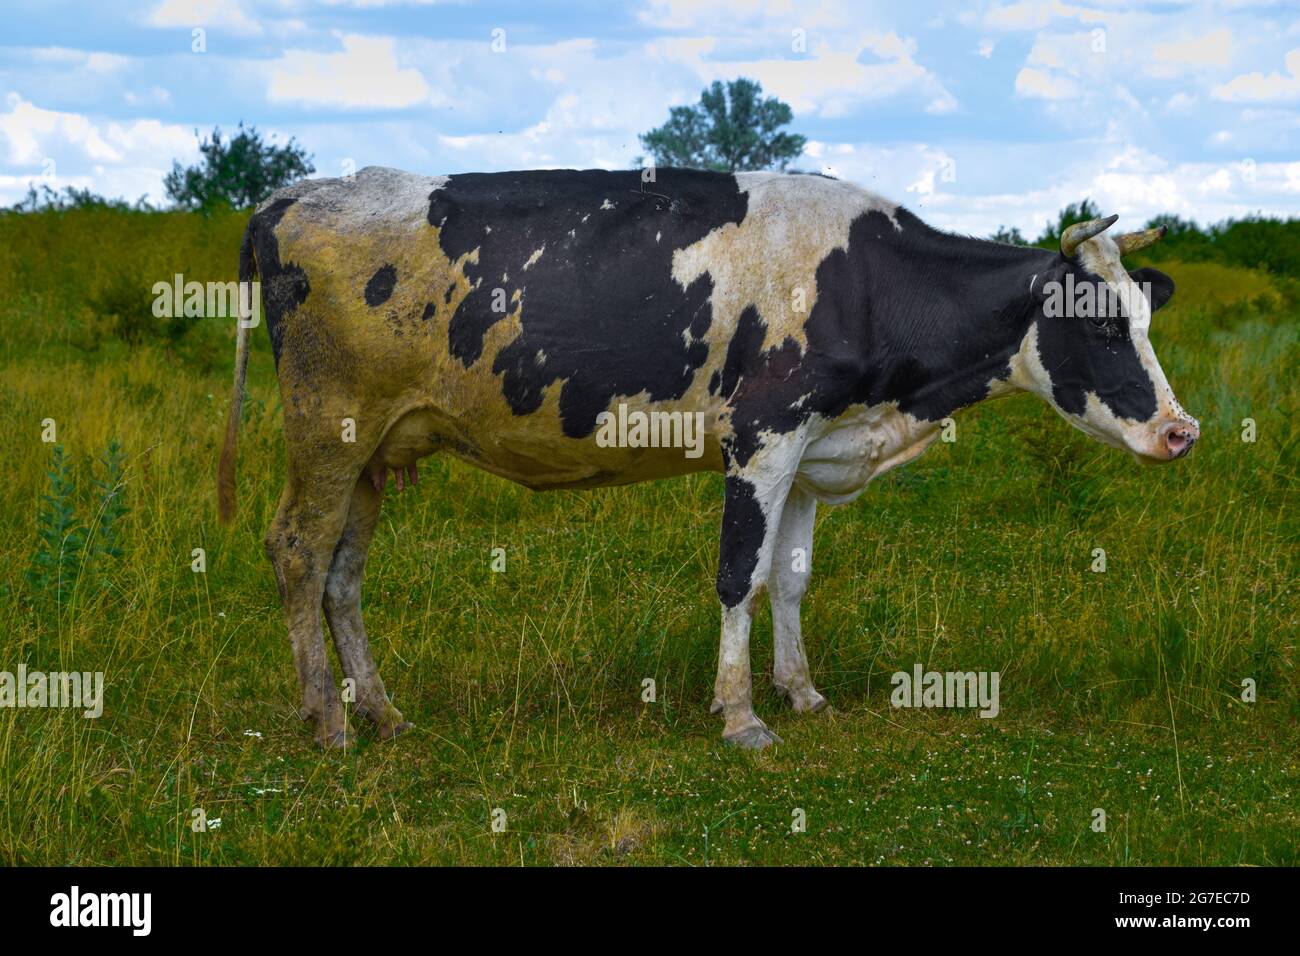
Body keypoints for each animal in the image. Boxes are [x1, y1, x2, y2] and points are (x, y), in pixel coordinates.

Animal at [217, 166, 1198, 750]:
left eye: (1145, 321)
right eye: (1099, 327)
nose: (1181, 431)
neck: (868, 283)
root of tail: (291, 196)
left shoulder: (810, 451)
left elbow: (791, 578)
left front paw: (801, 693)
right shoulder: (761, 438)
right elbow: (739, 575)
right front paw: (740, 716)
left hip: (377, 449)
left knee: (343, 573)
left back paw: (381, 711)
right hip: (328, 427)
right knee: (297, 551)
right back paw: (327, 720)